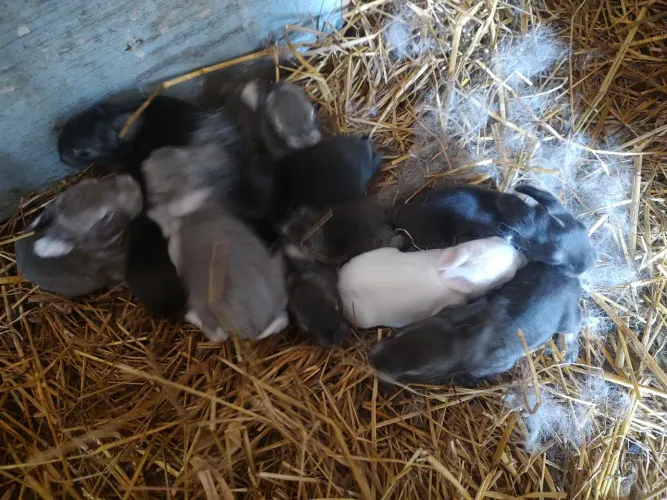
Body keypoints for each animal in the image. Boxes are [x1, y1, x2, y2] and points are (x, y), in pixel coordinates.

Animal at [142, 146, 289, 341]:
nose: (154, 154)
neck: (193, 205)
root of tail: (255, 328)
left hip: (200, 299)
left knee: (217, 334)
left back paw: (192, 317)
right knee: (283, 320)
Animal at [369, 262, 583, 385]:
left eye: (416, 374)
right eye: (400, 333)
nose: (372, 359)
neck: (459, 334)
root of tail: (570, 276)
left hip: (567, 318)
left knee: (574, 325)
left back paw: (569, 352)